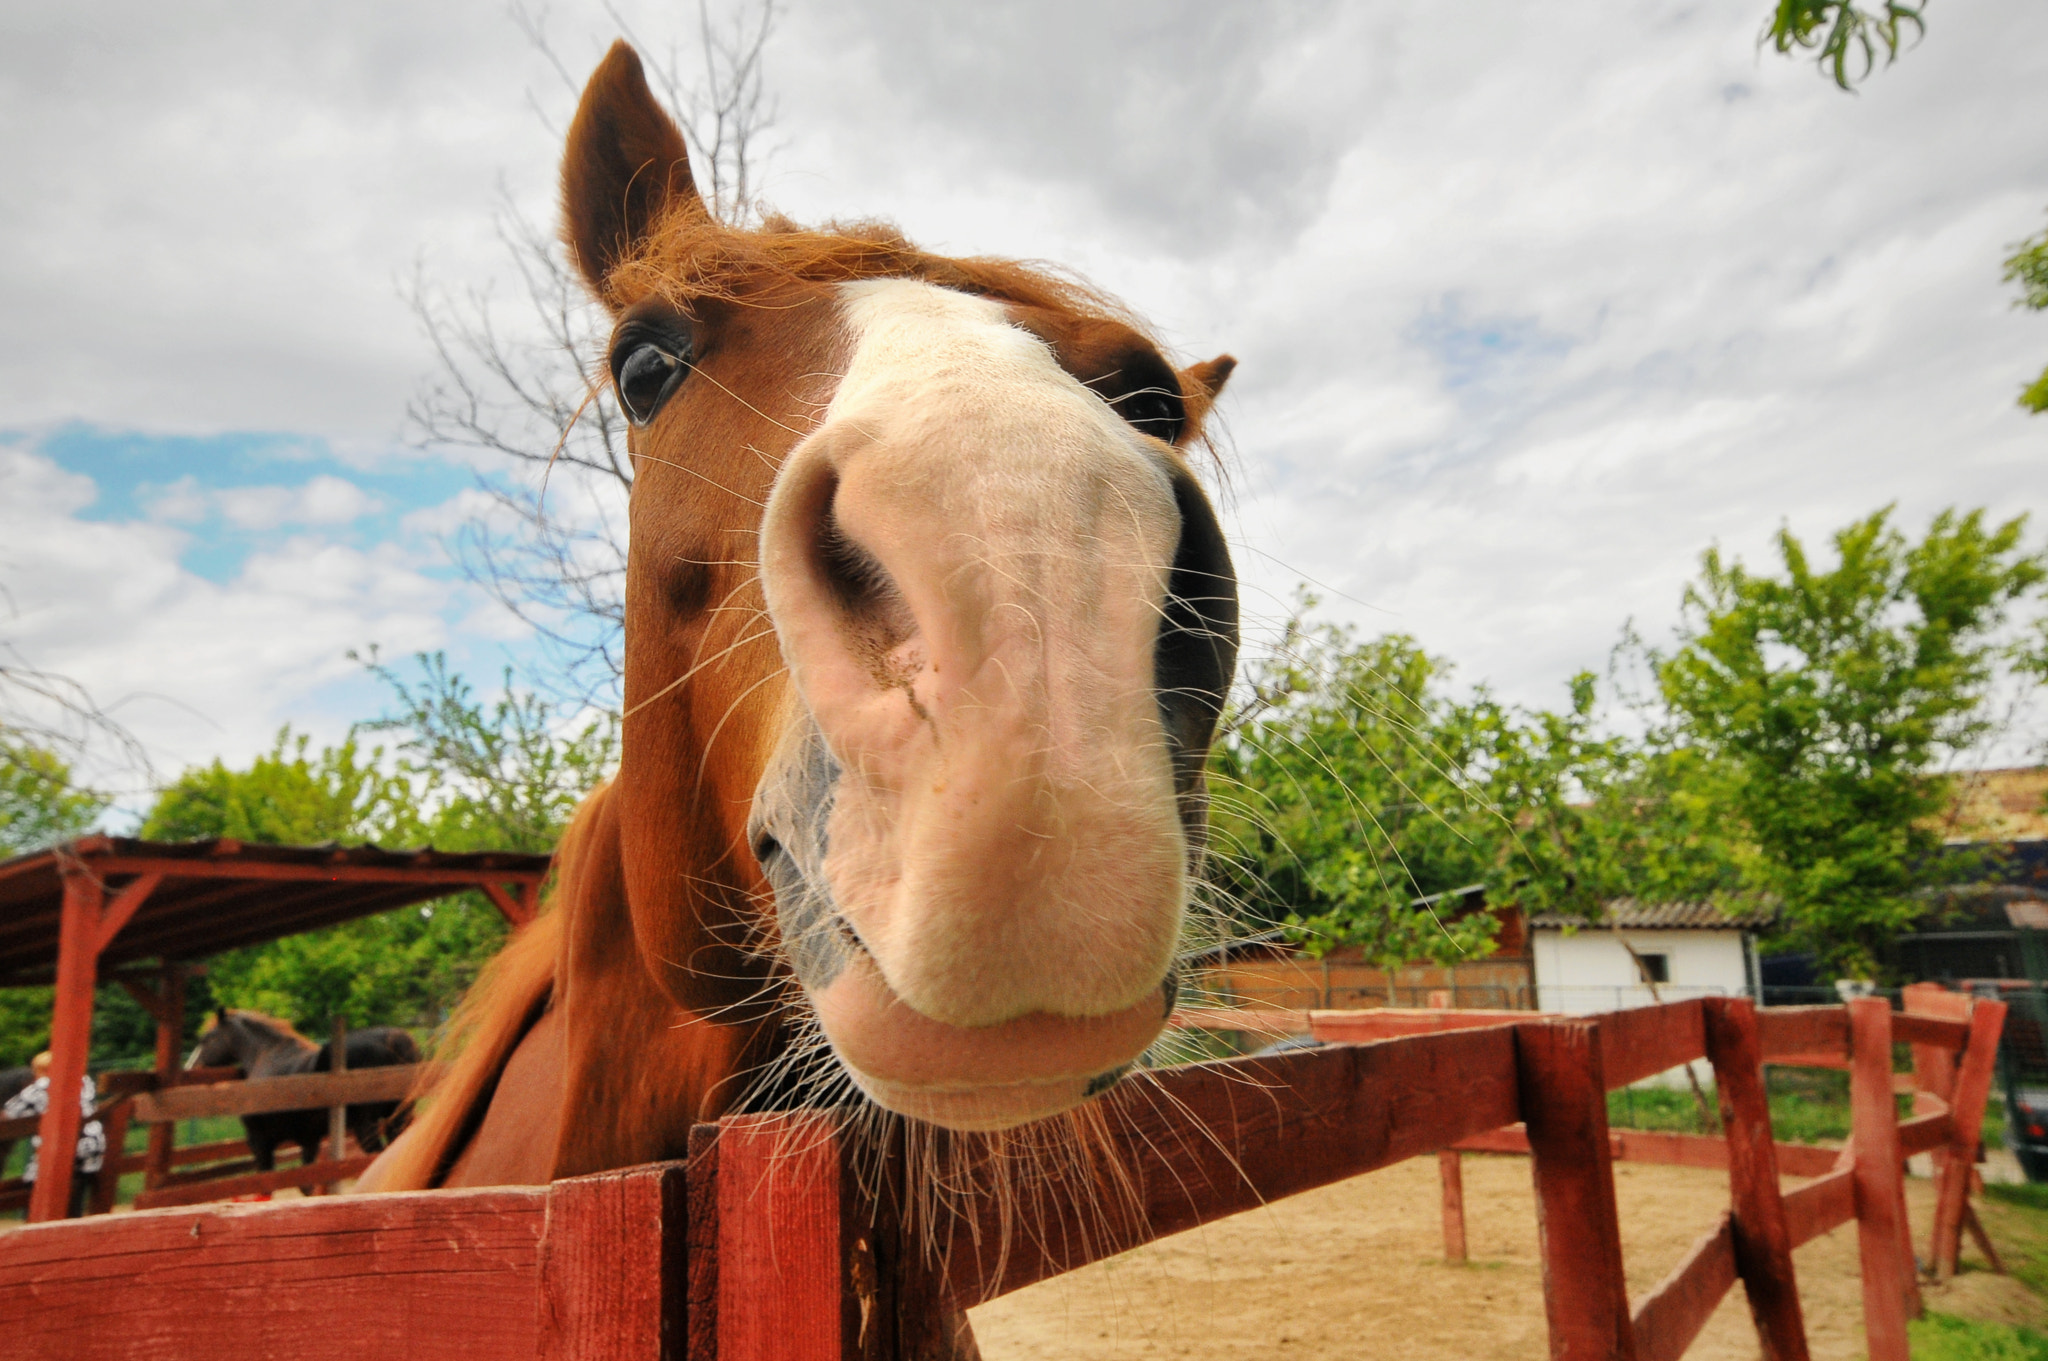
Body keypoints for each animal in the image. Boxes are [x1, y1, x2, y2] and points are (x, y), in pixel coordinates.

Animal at [190, 1006, 417, 1170]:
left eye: (206, 1039)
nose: (192, 1066)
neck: (267, 1055)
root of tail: (393, 1041)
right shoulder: (308, 1138)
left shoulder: (262, 1142)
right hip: (399, 1117)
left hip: (366, 1126)